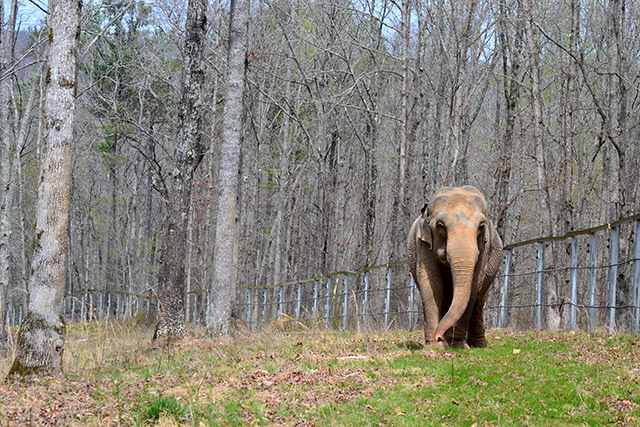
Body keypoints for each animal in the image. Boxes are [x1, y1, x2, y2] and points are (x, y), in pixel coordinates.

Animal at [408, 186, 502, 350]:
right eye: (440, 225)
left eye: (481, 226)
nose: (438, 336)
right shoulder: (423, 244)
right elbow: (432, 285)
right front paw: (435, 346)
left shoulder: (485, 247)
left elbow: (474, 285)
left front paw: (458, 345)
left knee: (479, 301)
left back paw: (478, 345)